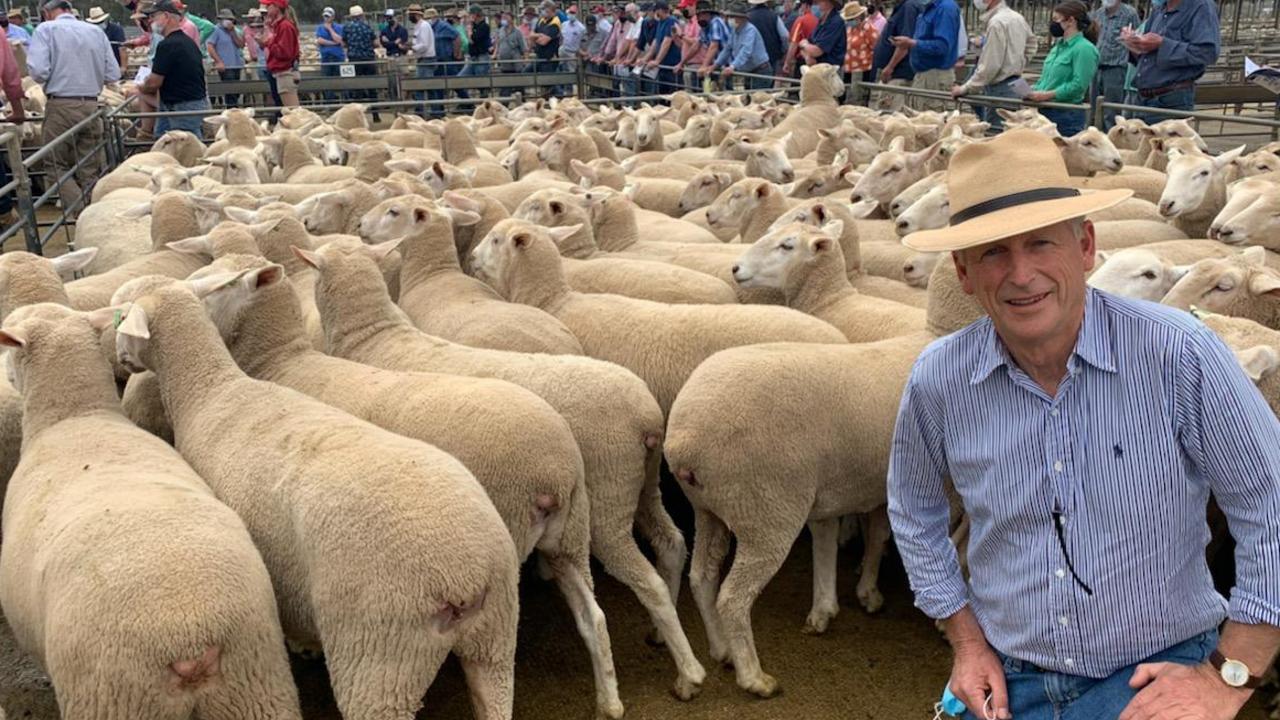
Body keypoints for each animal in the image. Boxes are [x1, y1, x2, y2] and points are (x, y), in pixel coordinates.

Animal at [113, 275, 519, 717]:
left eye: (120, 314)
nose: (119, 359)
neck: (211, 391)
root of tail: (465, 574)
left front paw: (302, 644)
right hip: (495, 636)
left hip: (380, 652)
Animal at [302, 240, 711, 707]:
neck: (373, 339)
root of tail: (647, 416)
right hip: (636, 488)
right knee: (669, 544)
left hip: (598, 500)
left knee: (643, 582)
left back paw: (687, 673)